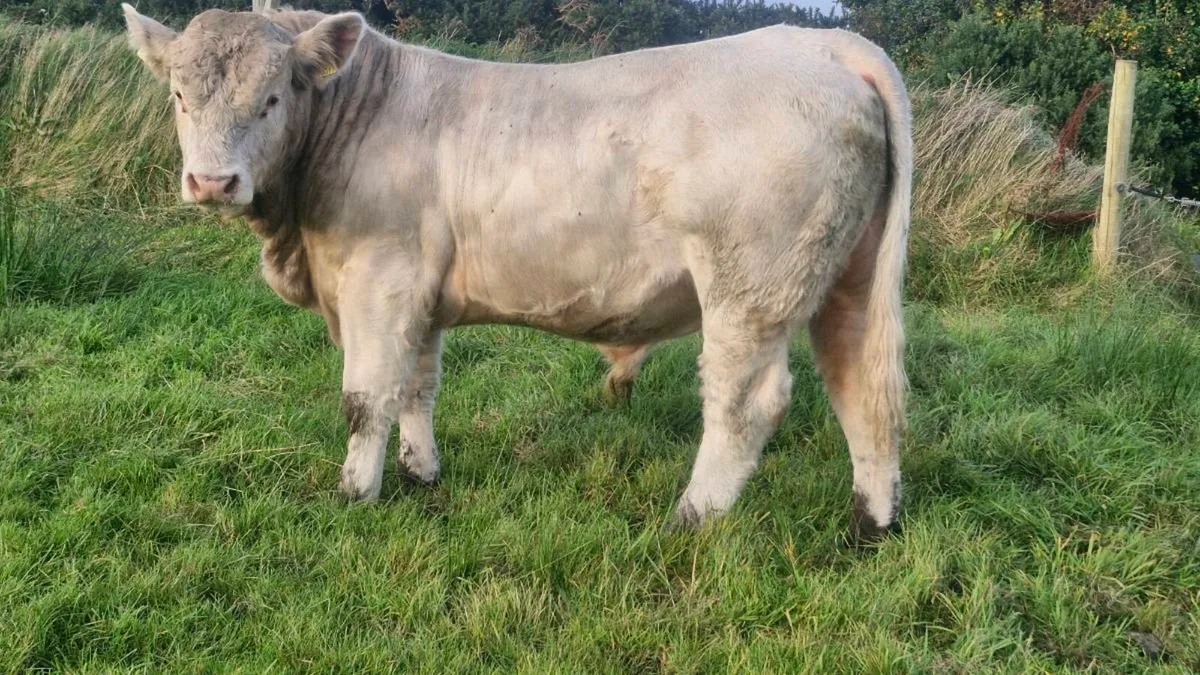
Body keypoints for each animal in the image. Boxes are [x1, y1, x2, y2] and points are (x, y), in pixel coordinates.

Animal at [121, 3, 911, 541]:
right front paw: (420, 474)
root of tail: (820, 41)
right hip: (845, 275)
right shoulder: (420, 291)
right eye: (180, 97)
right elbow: (418, 386)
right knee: (861, 384)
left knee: (748, 403)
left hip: (750, 287)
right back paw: (870, 524)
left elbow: (366, 396)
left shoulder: (379, 280)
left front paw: (355, 494)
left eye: (272, 98)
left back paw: (691, 516)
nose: (212, 181)